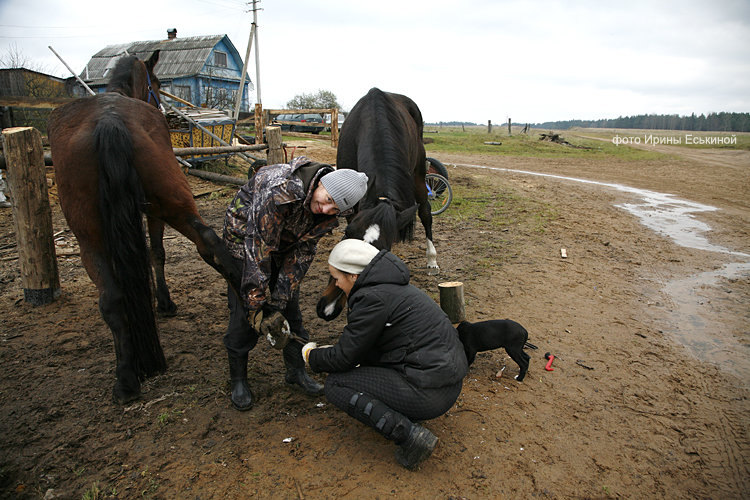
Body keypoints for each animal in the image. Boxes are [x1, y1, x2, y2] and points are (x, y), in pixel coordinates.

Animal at [48, 49, 241, 402]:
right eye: (159, 84)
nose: (162, 105)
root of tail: (109, 120)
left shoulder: (148, 214)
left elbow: (156, 254)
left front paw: (162, 302)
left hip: (92, 234)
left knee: (112, 295)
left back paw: (126, 377)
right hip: (169, 202)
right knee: (209, 243)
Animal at [318, 87, 440, 320]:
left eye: (382, 250)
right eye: (346, 233)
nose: (329, 308)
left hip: (419, 175)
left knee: (426, 213)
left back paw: (432, 260)